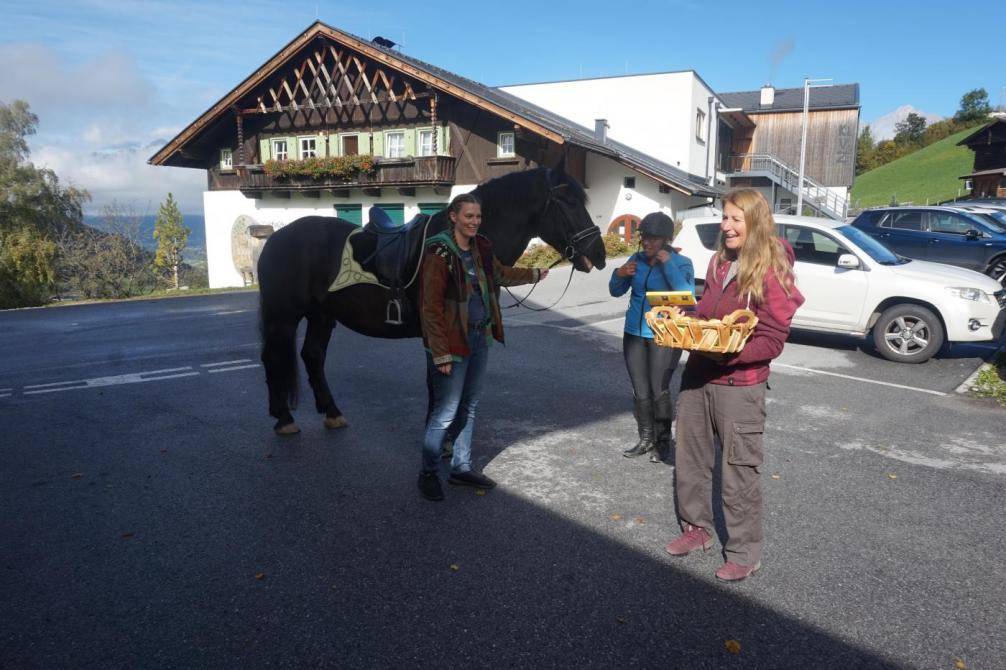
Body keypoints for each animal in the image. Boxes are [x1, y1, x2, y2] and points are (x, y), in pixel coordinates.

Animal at [255, 161, 607, 432]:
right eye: (568, 202)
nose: (599, 254)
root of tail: (276, 238)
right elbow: (438, 385)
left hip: (322, 315)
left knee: (312, 356)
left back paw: (331, 413)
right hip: (283, 316)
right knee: (272, 356)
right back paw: (284, 418)